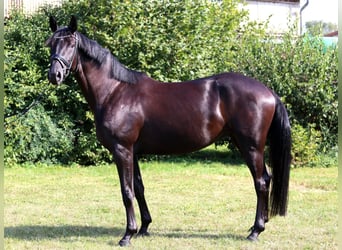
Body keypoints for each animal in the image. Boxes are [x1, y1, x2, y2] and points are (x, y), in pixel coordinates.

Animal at [46, 16, 292, 246]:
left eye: (71, 44)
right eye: (51, 44)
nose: (54, 75)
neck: (115, 91)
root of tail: (267, 91)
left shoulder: (122, 150)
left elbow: (127, 191)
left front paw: (127, 234)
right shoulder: (133, 152)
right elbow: (139, 187)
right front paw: (144, 227)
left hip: (250, 146)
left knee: (261, 182)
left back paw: (255, 231)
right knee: (266, 178)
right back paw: (260, 223)